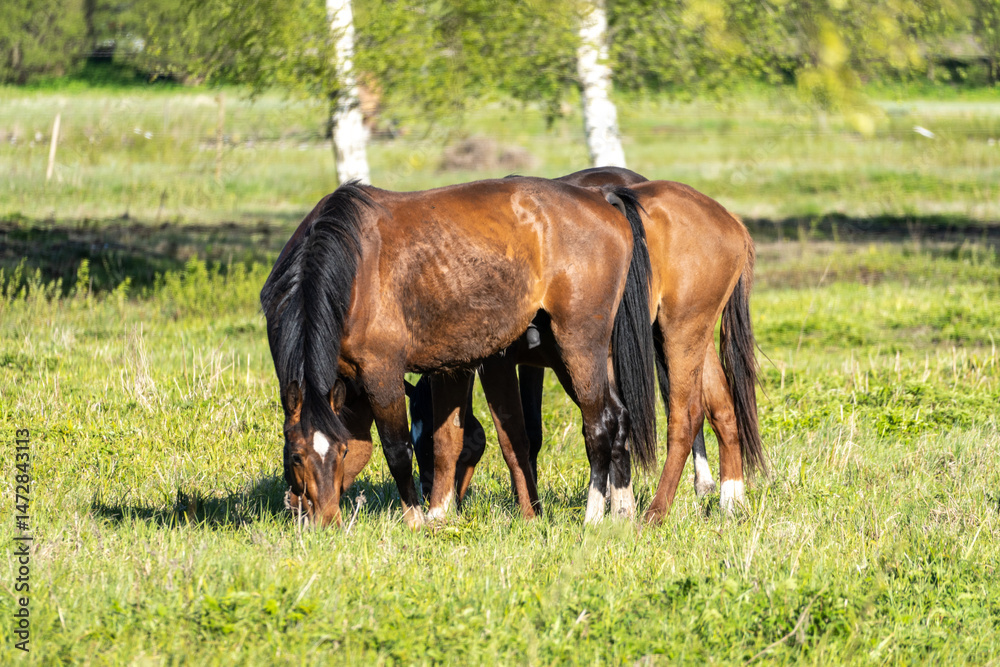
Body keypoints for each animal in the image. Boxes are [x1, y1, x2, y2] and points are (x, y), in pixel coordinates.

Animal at [261, 177, 657, 527]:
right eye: (295, 455)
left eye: (338, 452)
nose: (324, 521)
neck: (350, 269)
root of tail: (600, 197)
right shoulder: (364, 383)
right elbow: (440, 441)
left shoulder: (381, 373)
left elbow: (397, 449)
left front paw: (416, 520)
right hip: (575, 356)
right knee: (618, 418)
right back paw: (622, 514)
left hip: (578, 345)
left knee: (599, 425)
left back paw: (593, 516)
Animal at [409, 168, 762, 521]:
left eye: (421, 447)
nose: (425, 491)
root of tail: (732, 223)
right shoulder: (524, 363)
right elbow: (522, 432)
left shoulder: (499, 363)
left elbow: (511, 435)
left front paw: (530, 510)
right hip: (687, 337)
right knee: (722, 408)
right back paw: (730, 500)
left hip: (677, 335)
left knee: (685, 416)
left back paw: (657, 512)